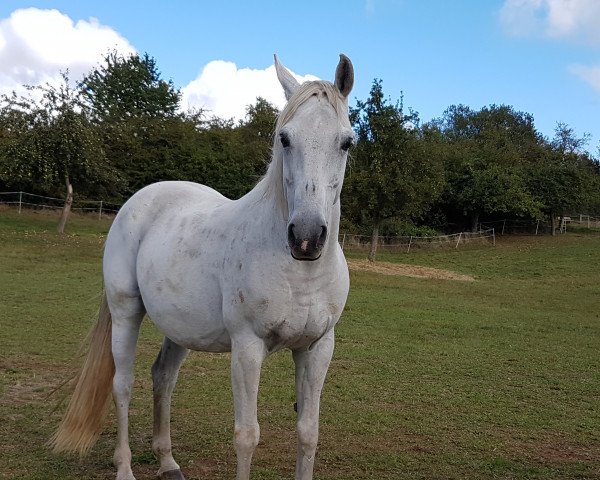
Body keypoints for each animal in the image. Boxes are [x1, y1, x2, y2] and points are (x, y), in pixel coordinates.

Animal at [52, 53, 356, 480]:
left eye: (346, 142)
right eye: (284, 138)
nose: (307, 237)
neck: (300, 275)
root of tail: (143, 199)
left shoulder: (316, 348)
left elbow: (308, 432)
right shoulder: (247, 348)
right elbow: (247, 436)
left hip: (180, 328)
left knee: (163, 378)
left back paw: (167, 462)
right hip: (126, 312)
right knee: (122, 385)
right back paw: (125, 467)